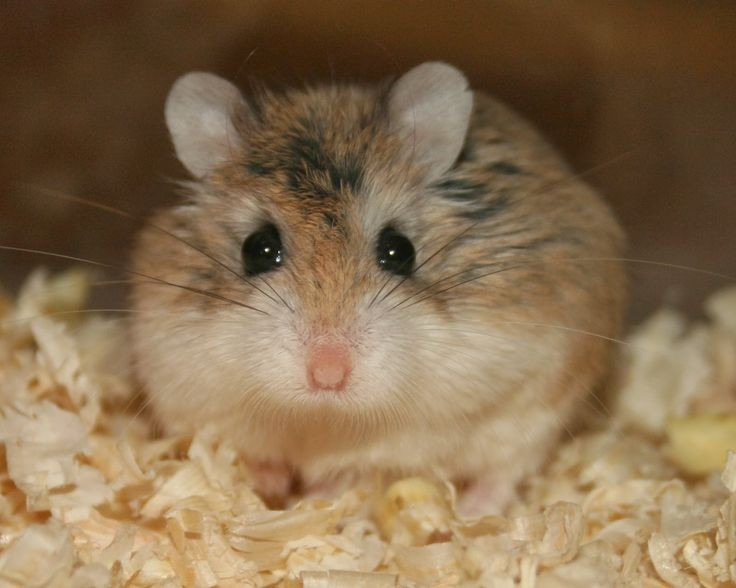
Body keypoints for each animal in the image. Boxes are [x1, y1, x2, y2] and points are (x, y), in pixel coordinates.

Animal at [130, 62, 626, 514]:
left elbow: (368, 463)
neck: (323, 416)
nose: (328, 374)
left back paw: (472, 512)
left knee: (503, 473)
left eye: (399, 250)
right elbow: (246, 451)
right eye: (258, 248)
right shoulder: (185, 389)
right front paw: (269, 484)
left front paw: (316, 494)